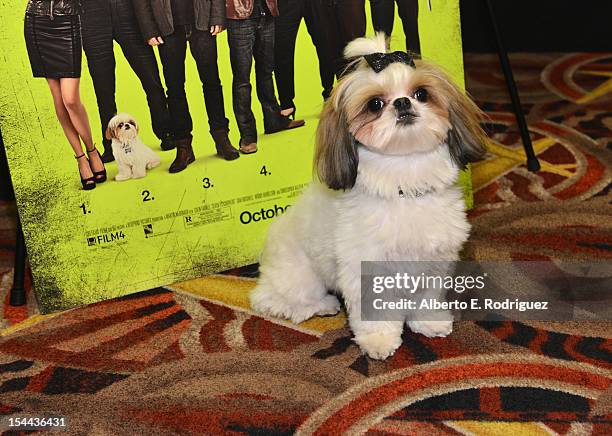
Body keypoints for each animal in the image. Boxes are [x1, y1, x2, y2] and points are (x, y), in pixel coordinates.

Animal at [250, 35, 488, 362]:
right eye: (375, 104)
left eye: (421, 93)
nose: (403, 102)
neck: (404, 179)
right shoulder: (365, 269)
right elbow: (374, 311)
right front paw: (379, 340)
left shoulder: (434, 262)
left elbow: (426, 296)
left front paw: (429, 321)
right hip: (300, 278)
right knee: (271, 300)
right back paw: (321, 305)